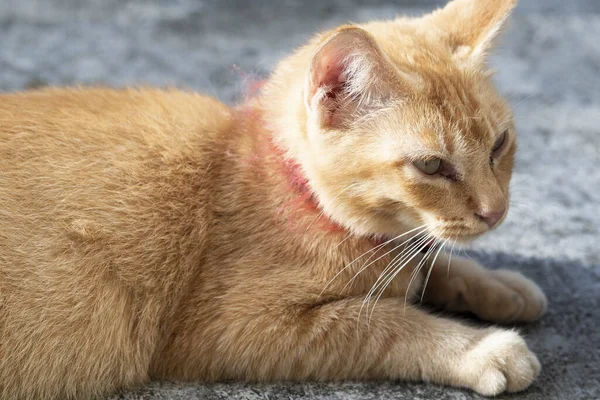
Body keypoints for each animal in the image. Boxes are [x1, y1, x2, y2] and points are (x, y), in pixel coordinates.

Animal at [0, 0, 548, 398]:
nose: (495, 211)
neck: (289, 189)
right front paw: (479, 349)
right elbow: (382, 321)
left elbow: (433, 263)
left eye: (499, 144)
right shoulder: (230, 329)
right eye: (432, 166)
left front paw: (499, 285)